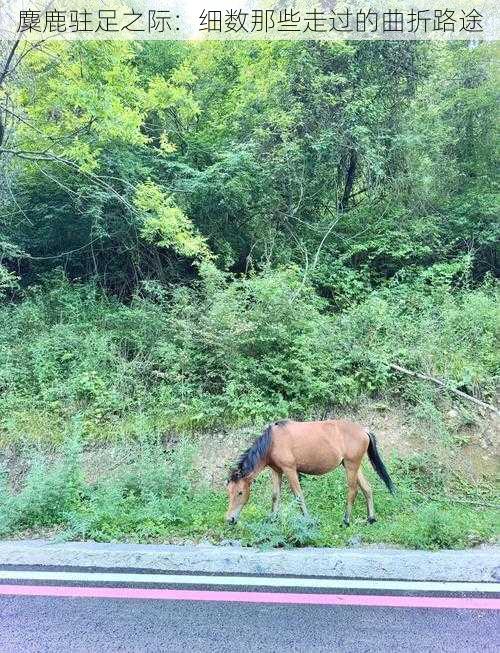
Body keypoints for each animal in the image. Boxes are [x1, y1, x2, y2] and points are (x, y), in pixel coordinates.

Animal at [227, 422, 394, 524]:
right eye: (229, 492)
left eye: (240, 492)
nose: (230, 519)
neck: (273, 442)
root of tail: (363, 430)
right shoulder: (276, 471)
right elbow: (275, 496)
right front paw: (272, 518)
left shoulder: (290, 470)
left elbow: (298, 495)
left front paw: (307, 519)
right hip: (353, 466)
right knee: (367, 488)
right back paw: (371, 518)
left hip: (351, 466)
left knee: (353, 491)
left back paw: (346, 520)